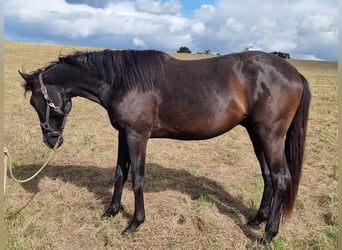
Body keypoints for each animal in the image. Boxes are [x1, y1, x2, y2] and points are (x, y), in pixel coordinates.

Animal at [19, 47, 312, 243]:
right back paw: (256, 220)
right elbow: (120, 173)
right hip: (256, 133)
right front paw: (111, 212)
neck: (120, 81)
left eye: (38, 101)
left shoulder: (137, 136)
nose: (50, 139)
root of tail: (294, 72)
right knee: (268, 176)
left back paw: (268, 235)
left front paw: (134, 223)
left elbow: (137, 179)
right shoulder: (123, 135)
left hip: (270, 135)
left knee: (281, 178)